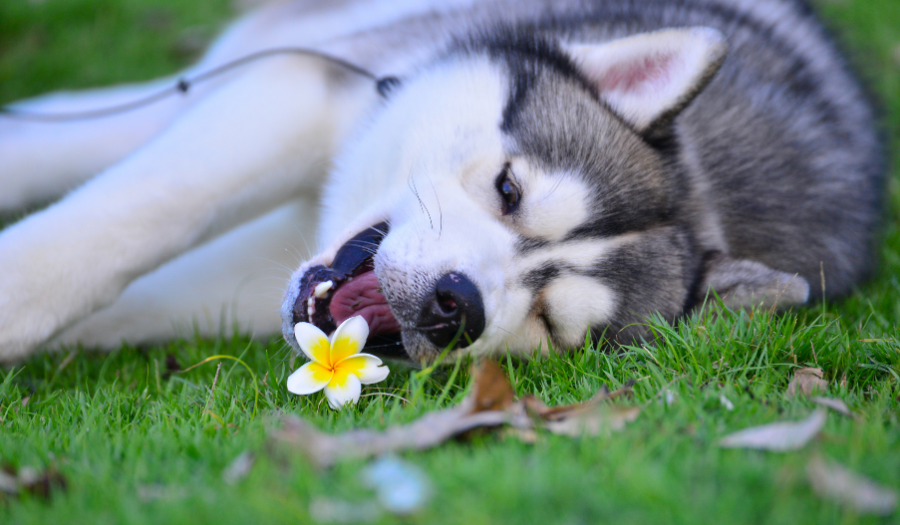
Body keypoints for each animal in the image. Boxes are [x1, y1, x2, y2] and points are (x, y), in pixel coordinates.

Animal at [0, 0, 884, 362]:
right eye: (509, 190)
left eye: (548, 320)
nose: (456, 304)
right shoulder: (301, 91)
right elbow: (144, 210)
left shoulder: (232, 285)